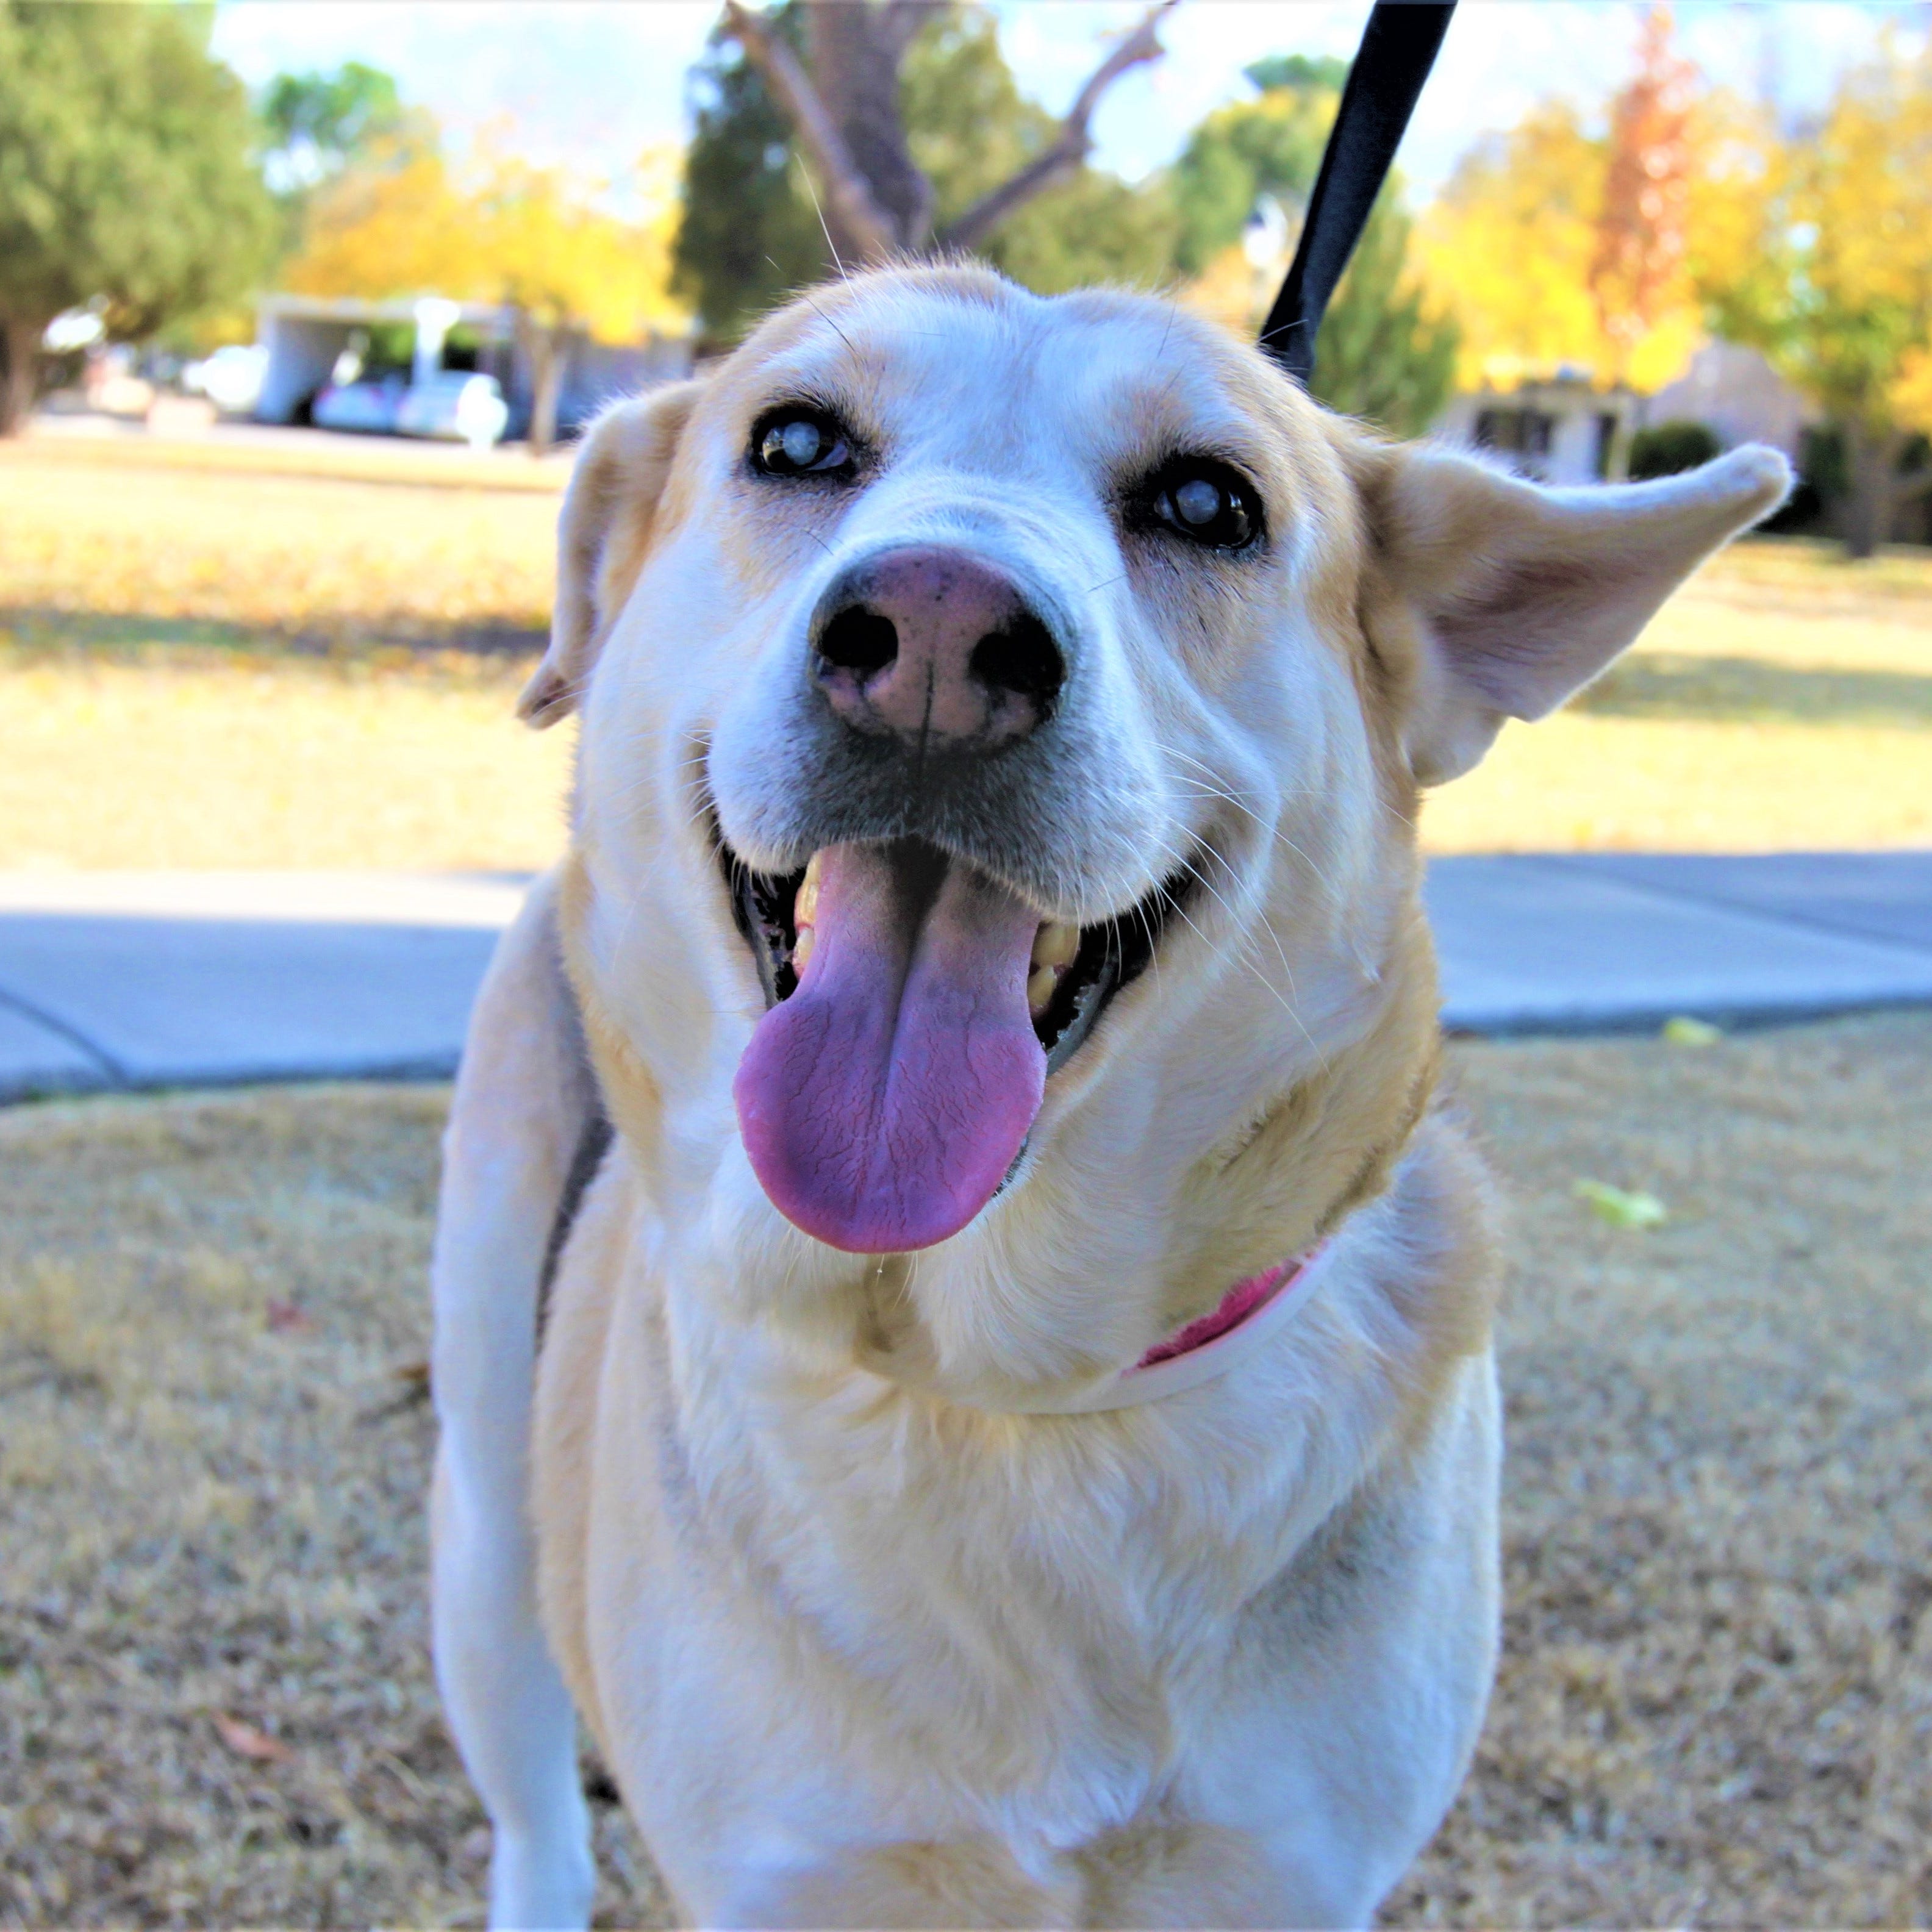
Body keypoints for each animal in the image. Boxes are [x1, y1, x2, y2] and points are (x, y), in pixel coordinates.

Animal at [431, 260, 1785, 1932]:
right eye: (796, 443)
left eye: (1209, 502)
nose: (935, 636)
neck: (1003, 1389)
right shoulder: (794, 1872)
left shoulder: (1284, 1873)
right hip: (483, 1531)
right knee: (535, 1809)